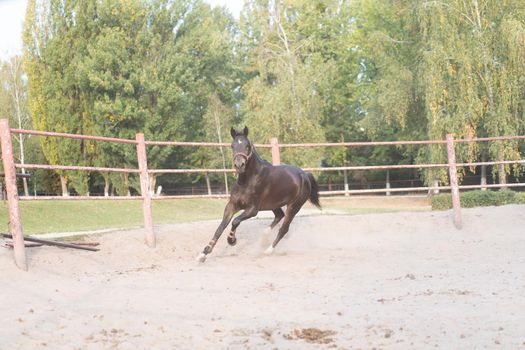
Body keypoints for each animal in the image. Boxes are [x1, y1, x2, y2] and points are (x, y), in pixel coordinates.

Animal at [195, 126, 320, 262]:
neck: (247, 181)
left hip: (294, 207)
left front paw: (231, 240)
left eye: (247, 145)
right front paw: (203, 253)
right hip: (274, 204)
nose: (239, 165)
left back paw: (268, 250)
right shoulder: (231, 205)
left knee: (284, 228)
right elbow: (220, 228)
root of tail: (305, 175)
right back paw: (264, 238)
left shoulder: (253, 209)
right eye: (232, 145)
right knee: (279, 215)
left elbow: (235, 221)